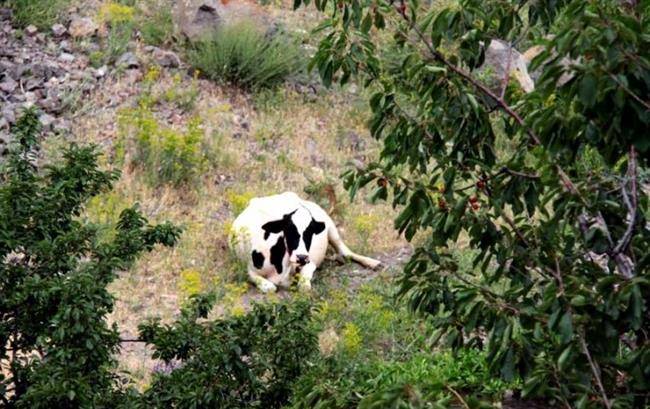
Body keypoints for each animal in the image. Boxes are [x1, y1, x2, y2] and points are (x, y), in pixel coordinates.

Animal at [228, 190, 380, 292]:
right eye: (288, 229)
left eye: (310, 231)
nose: (301, 257)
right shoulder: (249, 269)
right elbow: (269, 287)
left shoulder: (309, 263)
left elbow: (304, 286)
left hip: (330, 226)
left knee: (345, 251)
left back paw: (373, 262)